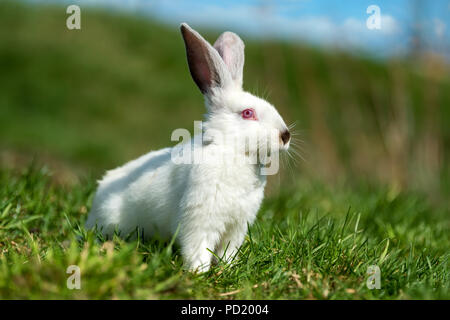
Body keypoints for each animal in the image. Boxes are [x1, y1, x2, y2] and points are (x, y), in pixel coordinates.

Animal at [85, 23, 290, 272]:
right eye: (248, 113)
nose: (285, 136)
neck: (231, 151)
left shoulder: (236, 227)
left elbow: (227, 252)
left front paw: (227, 268)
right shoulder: (200, 220)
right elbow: (198, 249)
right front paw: (198, 272)